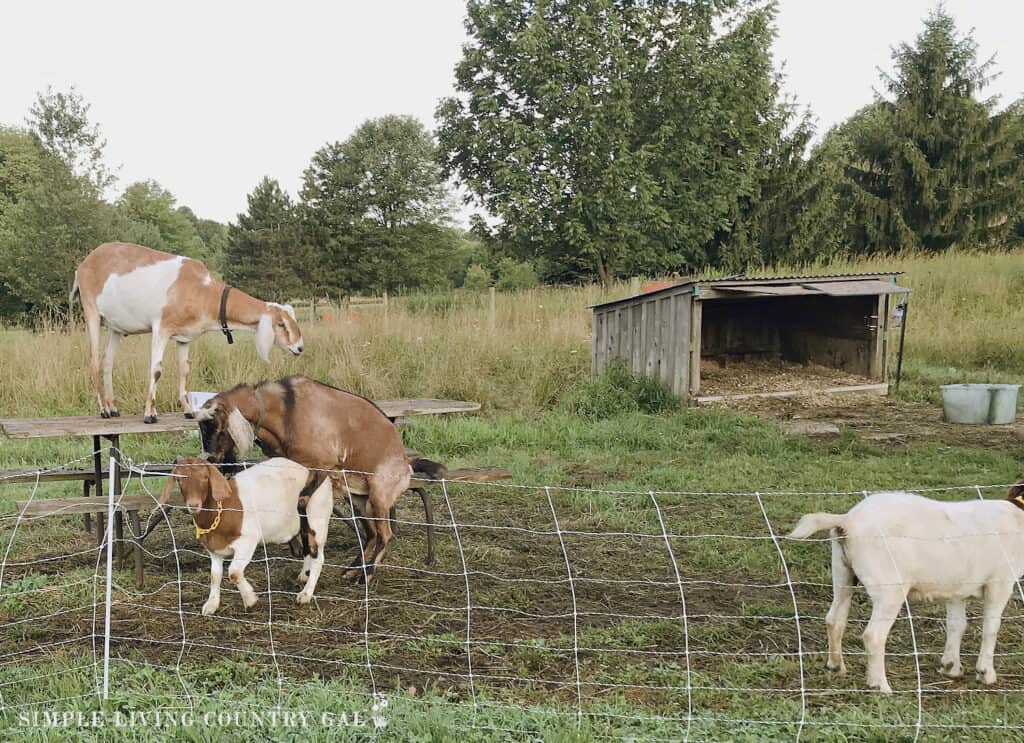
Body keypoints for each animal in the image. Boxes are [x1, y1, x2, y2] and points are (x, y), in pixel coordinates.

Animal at [71, 241, 303, 421]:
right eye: (281, 324)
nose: (299, 347)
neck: (201, 289)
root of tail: (83, 264)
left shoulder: (184, 338)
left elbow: (184, 370)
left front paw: (189, 410)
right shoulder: (161, 329)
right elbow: (156, 370)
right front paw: (150, 414)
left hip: (114, 328)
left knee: (108, 363)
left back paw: (113, 408)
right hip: (91, 313)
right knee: (94, 361)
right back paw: (104, 410)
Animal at [157, 456, 331, 614]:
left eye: (205, 477)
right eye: (179, 480)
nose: (193, 505)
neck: (223, 509)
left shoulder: (248, 541)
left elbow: (234, 572)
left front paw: (250, 599)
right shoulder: (214, 549)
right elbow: (215, 576)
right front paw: (211, 605)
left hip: (318, 520)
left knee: (319, 558)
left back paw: (306, 594)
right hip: (304, 525)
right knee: (308, 549)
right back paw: (304, 575)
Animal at [193, 380, 446, 585]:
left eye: (215, 425)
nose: (213, 458)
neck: (285, 411)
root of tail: (407, 464)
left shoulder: (321, 468)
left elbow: (302, 506)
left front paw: (307, 559)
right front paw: (301, 556)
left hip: (379, 495)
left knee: (385, 535)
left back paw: (366, 575)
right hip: (357, 498)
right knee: (371, 534)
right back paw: (352, 570)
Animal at [790, 491, 1024, 695]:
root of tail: (849, 520)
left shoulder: (957, 588)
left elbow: (957, 625)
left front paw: (950, 667)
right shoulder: (1000, 581)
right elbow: (991, 627)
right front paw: (985, 673)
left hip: (842, 572)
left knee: (834, 619)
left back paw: (836, 667)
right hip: (889, 588)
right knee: (873, 635)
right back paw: (880, 686)